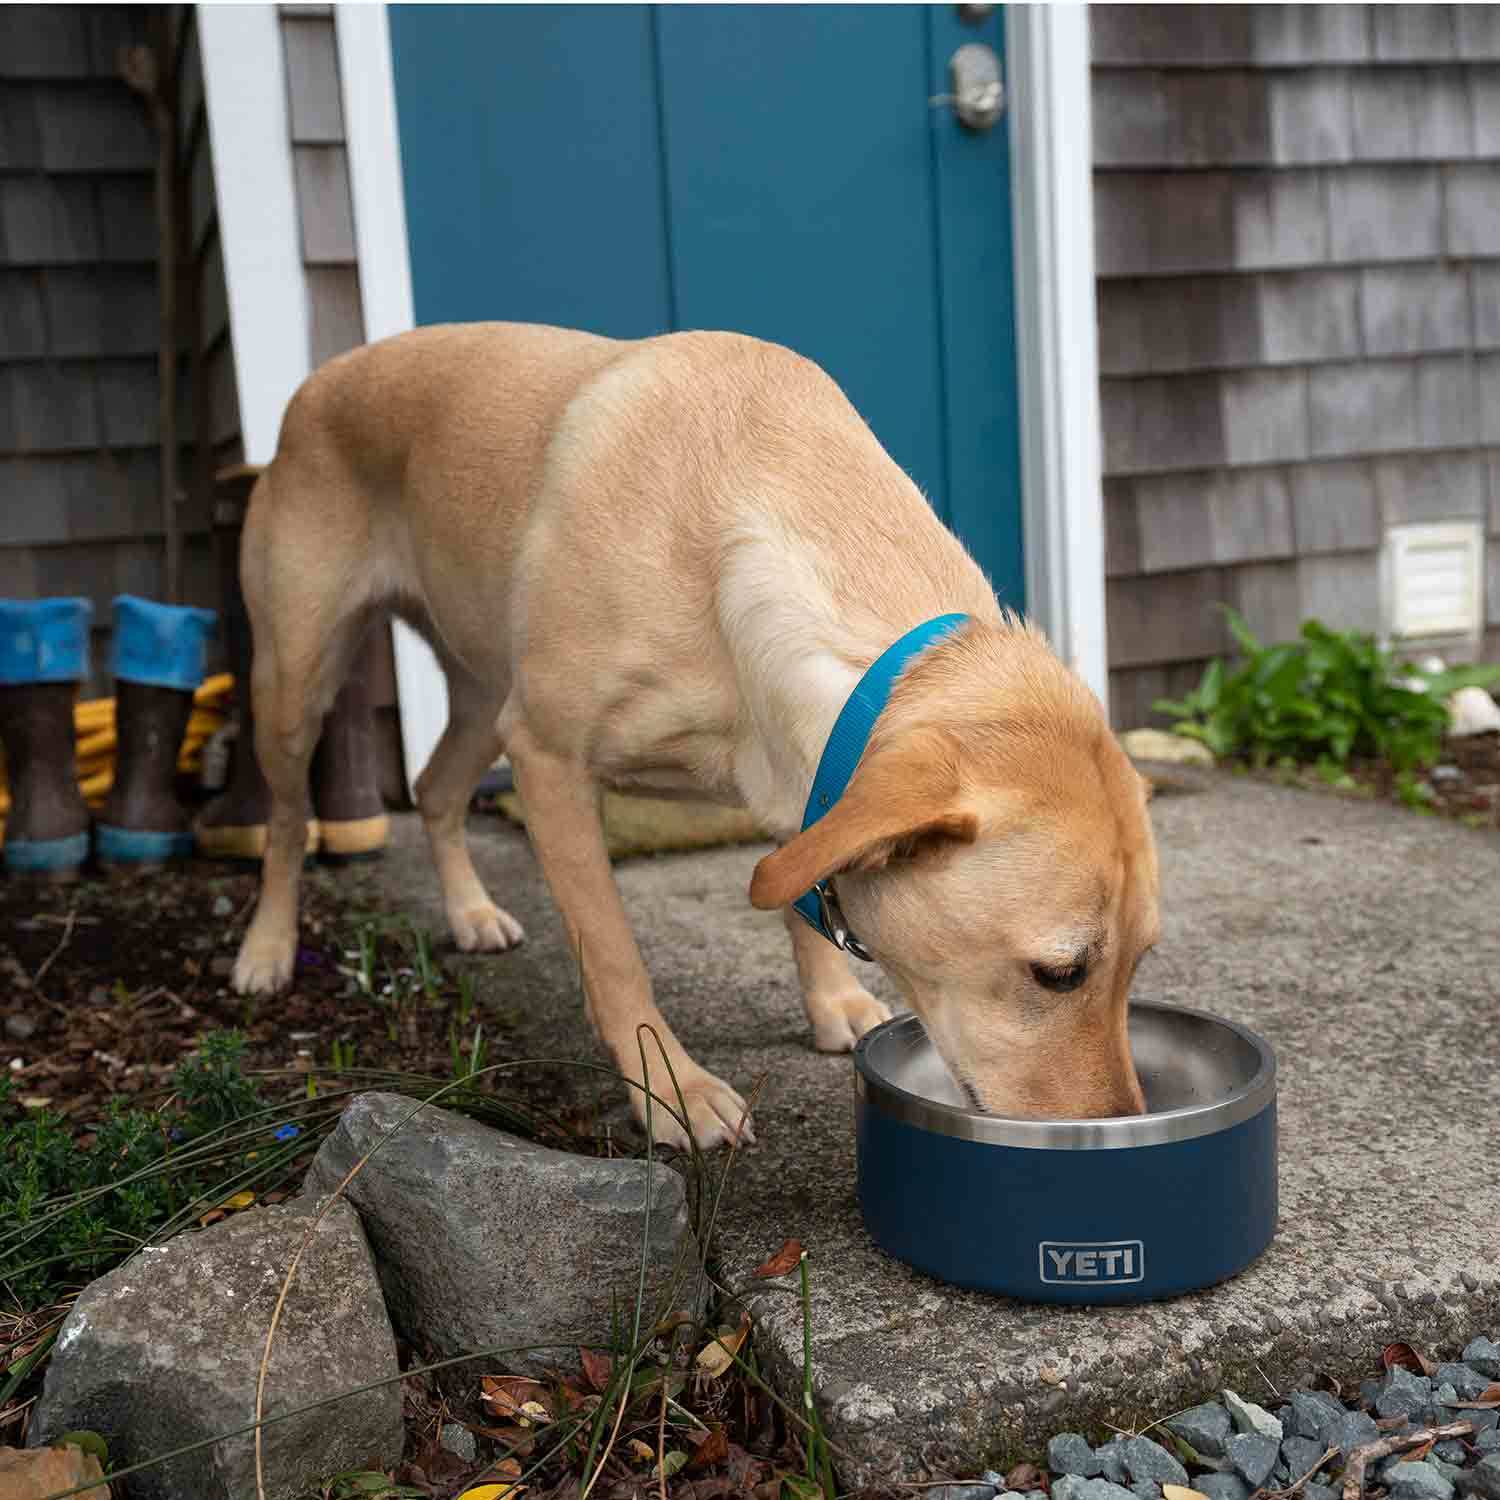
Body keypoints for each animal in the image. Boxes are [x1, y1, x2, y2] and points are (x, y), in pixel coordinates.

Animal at [228, 325, 1158, 1146]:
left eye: (1140, 964)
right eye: (1060, 973)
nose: (1117, 1133)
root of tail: (321, 379)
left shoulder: (804, 780)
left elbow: (797, 892)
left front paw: (830, 1002)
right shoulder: (549, 761)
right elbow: (614, 956)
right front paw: (672, 1089)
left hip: (485, 695)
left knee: (435, 790)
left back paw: (469, 912)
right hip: (297, 685)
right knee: (286, 821)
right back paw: (266, 949)